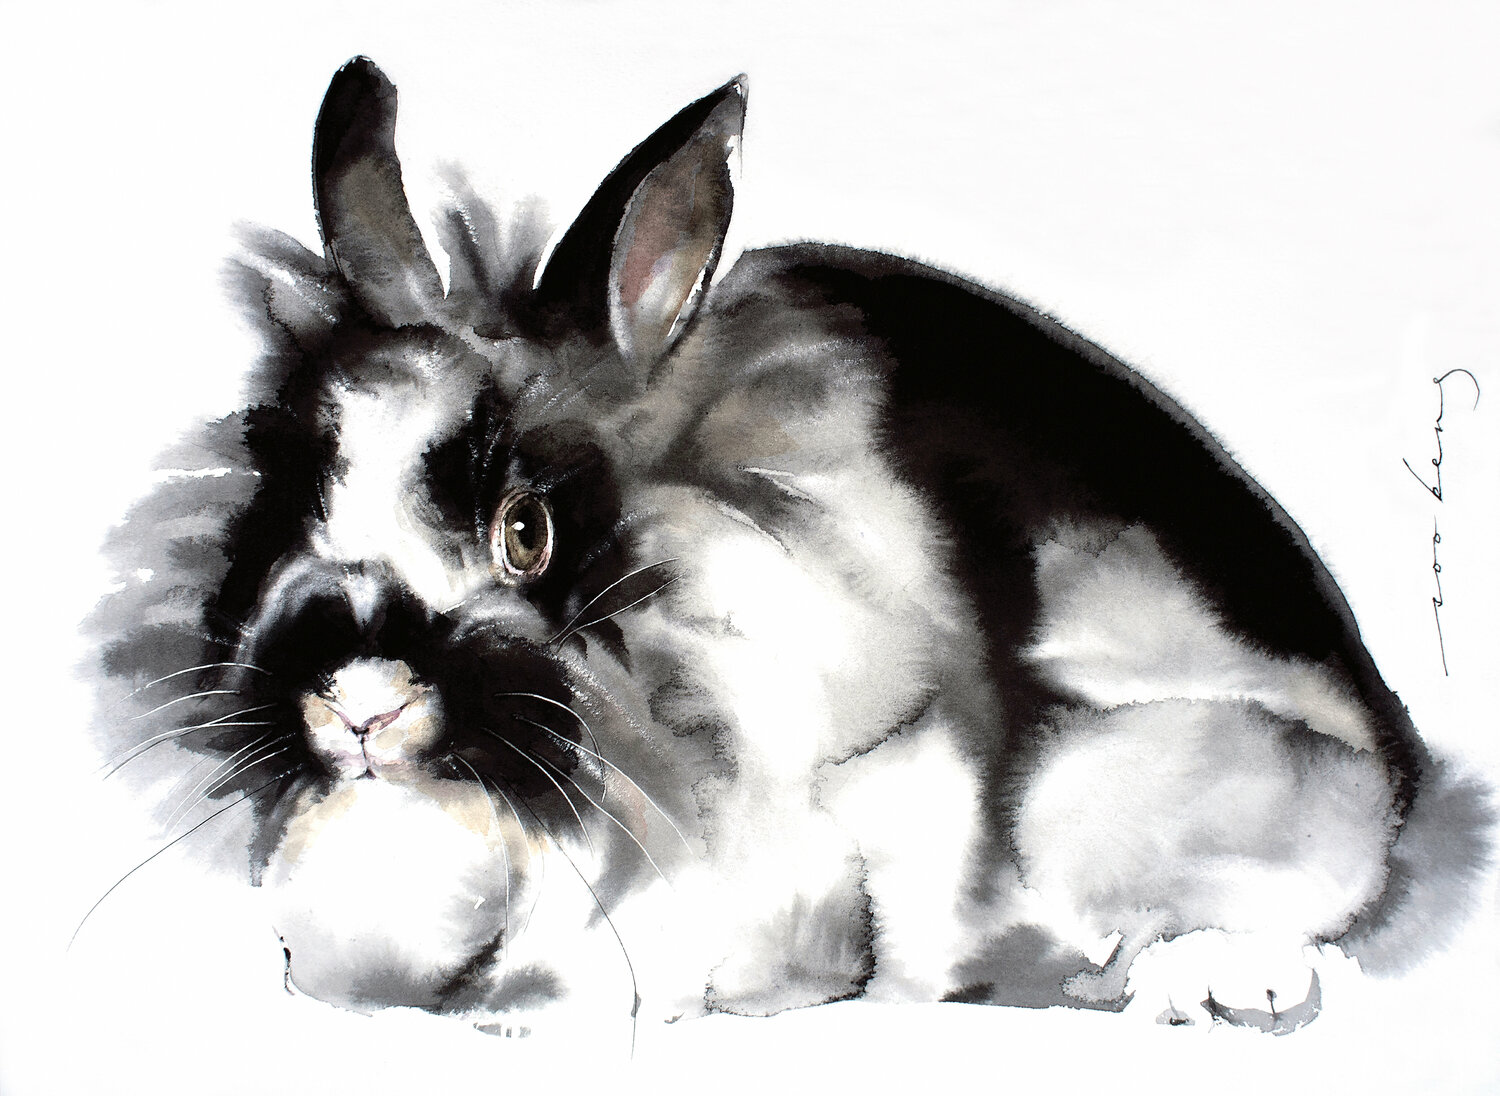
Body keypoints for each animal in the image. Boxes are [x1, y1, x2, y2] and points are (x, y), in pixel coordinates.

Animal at [89, 56, 1489, 1039]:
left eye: (527, 533)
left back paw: (1193, 983)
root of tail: (1399, 771)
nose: (357, 701)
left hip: (1094, 792)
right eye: (279, 498)